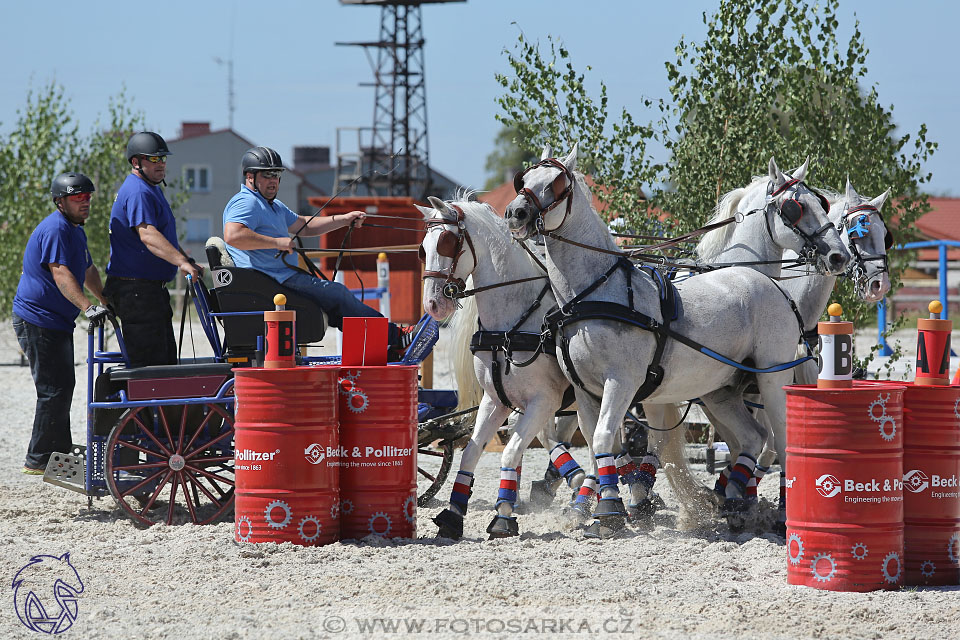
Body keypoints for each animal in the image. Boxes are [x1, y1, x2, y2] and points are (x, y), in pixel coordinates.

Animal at [420, 198, 600, 536]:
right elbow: (471, 452)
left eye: (447, 243)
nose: (433, 305)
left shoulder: (544, 401)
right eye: (422, 249)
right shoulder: (496, 400)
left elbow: (512, 449)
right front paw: (453, 514)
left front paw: (504, 514)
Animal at [502, 144, 848, 536]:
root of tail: (773, 287)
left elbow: (610, 439)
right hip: (720, 390)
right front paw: (603, 505)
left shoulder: (623, 383)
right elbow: (599, 445)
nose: (515, 212)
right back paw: (731, 503)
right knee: (753, 437)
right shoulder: (586, 391)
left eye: (557, 184)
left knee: (781, 441)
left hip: (772, 378)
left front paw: (610, 512)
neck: (593, 294)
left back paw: (781, 514)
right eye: (525, 179)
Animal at [660, 179, 892, 528]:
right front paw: (743, 499)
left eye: (884, 234)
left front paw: (742, 496)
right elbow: (763, 442)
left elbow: (762, 445)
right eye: (857, 232)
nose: (879, 285)